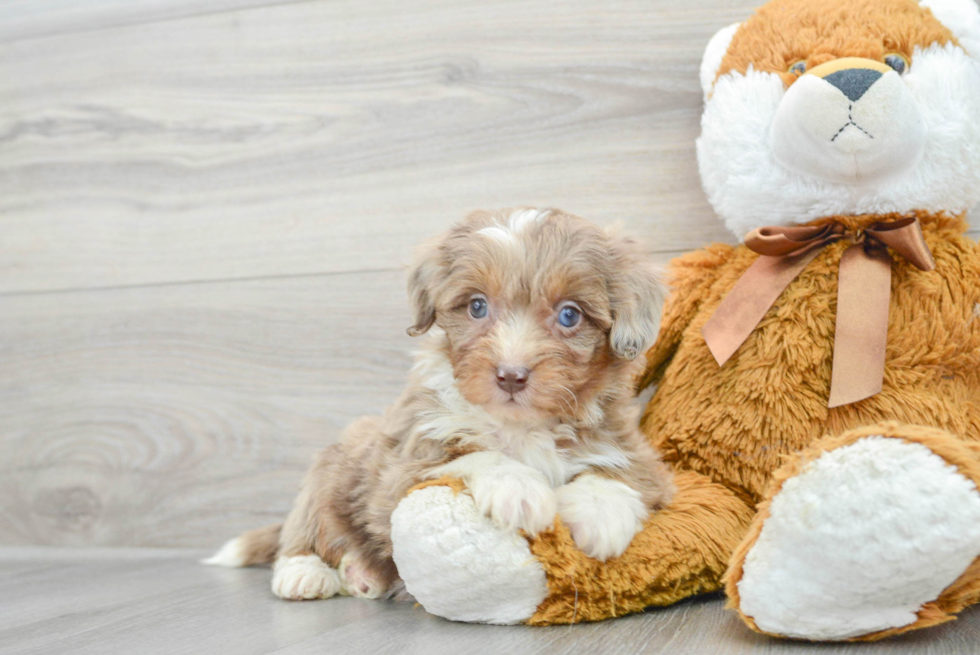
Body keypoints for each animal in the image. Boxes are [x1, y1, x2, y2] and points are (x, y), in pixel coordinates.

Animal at [205, 208, 672, 604]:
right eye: (477, 306)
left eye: (570, 315)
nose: (511, 374)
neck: (520, 425)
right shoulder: (402, 464)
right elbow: (468, 453)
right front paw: (518, 489)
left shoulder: (635, 450)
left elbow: (623, 473)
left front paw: (601, 514)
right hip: (330, 472)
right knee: (307, 526)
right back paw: (304, 572)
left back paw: (363, 575)